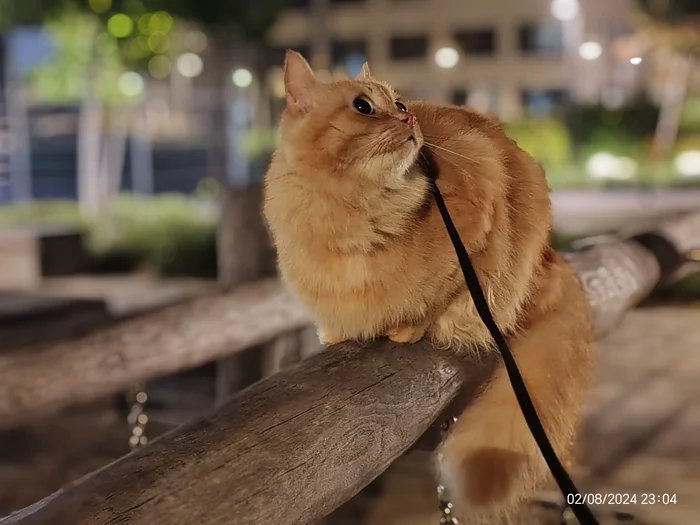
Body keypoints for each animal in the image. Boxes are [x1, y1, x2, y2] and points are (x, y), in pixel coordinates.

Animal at [264, 51, 596, 520]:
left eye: (400, 104)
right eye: (363, 107)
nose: (409, 120)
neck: (353, 218)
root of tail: (553, 257)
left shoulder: (477, 225)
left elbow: (434, 299)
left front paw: (408, 328)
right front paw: (337, 333)